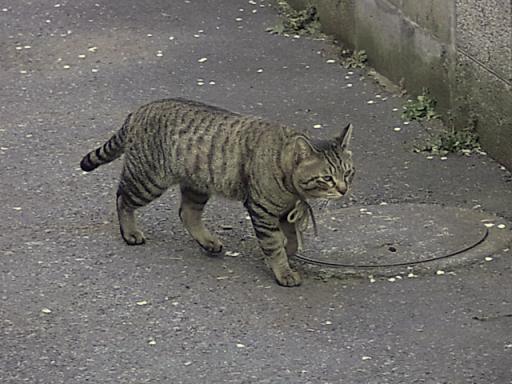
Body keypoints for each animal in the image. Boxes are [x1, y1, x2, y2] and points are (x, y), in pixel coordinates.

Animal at [81, 97, 356, 286]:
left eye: (348, 173)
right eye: (327, 178)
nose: (344, 190)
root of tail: (138, 110)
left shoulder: (285, 211)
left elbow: (292, 239)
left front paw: (289, 251)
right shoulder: (262, 209)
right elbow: (273, 244)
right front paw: (283, 270)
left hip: (197, 185)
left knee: (187, 213)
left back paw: (208, 241)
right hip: (148, 181)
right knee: (122, 199)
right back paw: (130, 233)